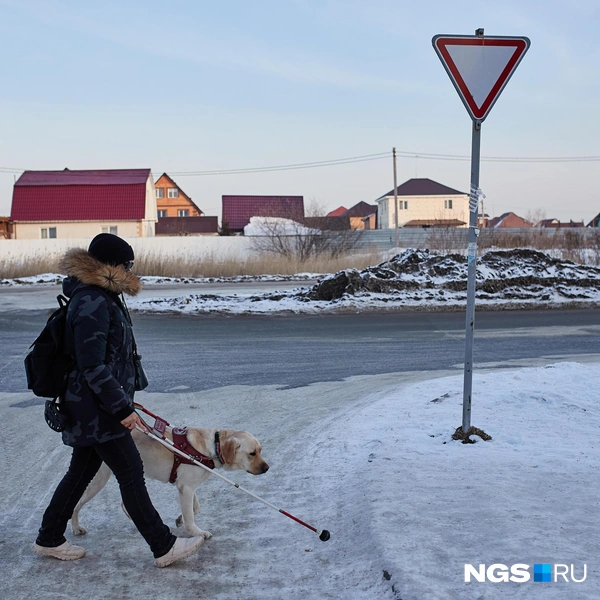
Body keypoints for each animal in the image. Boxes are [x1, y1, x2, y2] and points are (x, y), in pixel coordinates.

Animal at [69, 426, 268, 540]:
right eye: (252, 453)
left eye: (260, 450)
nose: (267, 468)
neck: (211, 447)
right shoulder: (186, 488)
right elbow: (191, 516)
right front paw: (197, 532)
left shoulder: (186, 486)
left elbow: (195, 508)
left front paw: (180, 519)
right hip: (98, 481)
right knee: (76, 504)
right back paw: (76, 527)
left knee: (124, 503)